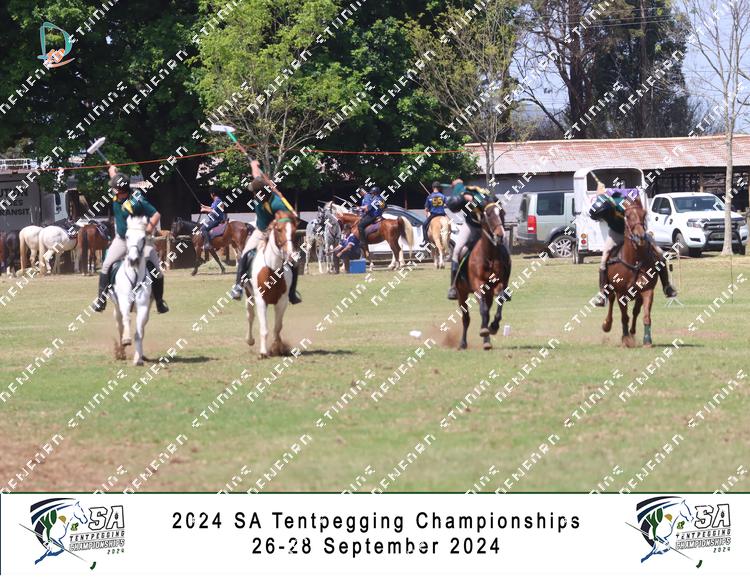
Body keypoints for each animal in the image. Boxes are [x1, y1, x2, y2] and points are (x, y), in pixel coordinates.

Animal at [112, 216, 152, 366]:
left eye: (143, 238)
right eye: (127, 236)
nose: (133, 260)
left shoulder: (143, 306)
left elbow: (139, 332)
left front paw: (138, 358)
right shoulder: (124, 302)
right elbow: (127, 320)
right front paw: (126, 340)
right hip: (116, 308)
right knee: (120, 325)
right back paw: (121, 351)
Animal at [244, 210, 297, 358]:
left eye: (294, 231)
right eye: (279, 230)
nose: (290, 254)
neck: (272, 269)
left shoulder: (282, 301)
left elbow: (277, 327)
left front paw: (277, 348)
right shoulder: (261, 301)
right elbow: (264, 328)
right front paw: (263, 352)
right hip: (249, 295)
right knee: (250, 316)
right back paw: (250, 340)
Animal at [455, 203, 511, 350]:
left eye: (502, 213)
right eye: (489, 215)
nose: (500, 235)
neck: (489, 256)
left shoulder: (499, 284)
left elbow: (500, 300)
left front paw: (494, 326)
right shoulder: (477, 285)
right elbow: (483, 310)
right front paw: (485, 330)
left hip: (489, 293)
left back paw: (486, 339)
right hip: (461, 293)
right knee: (466, 318)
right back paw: (463, 343)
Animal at [602, 196, 659, 348]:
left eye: (644, 214)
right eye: (627, 216)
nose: (640, 236)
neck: (634, 260)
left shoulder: (647, 290)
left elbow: (645, 315)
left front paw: (647, 340)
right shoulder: (621, 293)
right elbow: (624, 317)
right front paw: (625, 339)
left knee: (635, 311)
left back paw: (633, 332)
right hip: (612, 289)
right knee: (611, 301)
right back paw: (607, 324)